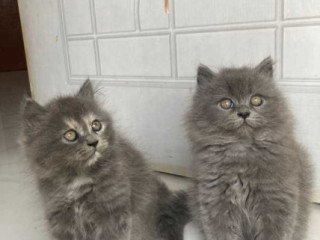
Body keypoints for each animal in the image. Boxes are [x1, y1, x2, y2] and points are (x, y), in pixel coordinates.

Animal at [21, 80, 189, 240]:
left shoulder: (114, 212)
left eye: (96, 125)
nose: (93, 142)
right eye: (70, 135)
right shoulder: (59, 215)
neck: (79, 177)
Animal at [185, 58, 312, 240]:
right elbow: (222, 233)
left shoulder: (276, 198)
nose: (244, 113)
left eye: (256, 100)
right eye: (226, 103)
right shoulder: (216, 200)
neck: (242, 150)